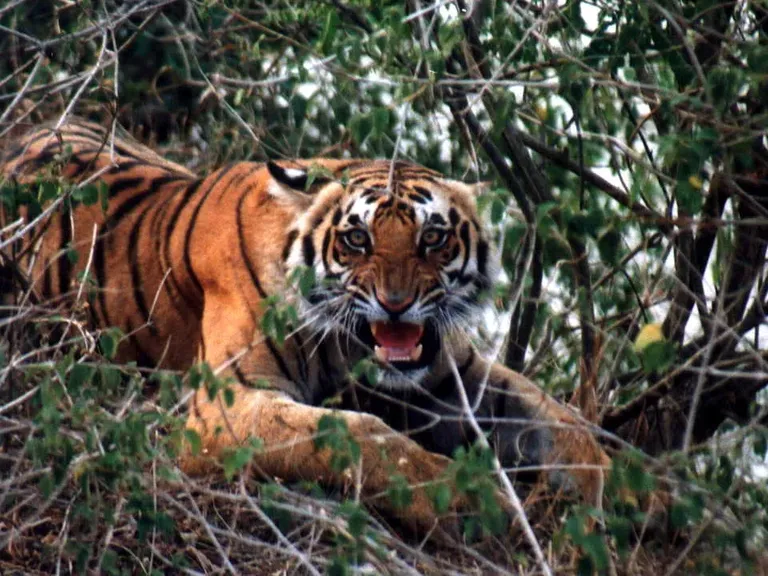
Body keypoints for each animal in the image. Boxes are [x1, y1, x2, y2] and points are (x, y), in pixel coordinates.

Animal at [0, 118, 609, 532]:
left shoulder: (453, 376)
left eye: (432, 237)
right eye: (357, 238)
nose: (396, 304)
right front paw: (471, 500)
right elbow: (361, 435)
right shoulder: (228, 404)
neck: (347, 346)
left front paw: (622, 496)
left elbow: (563, 424)